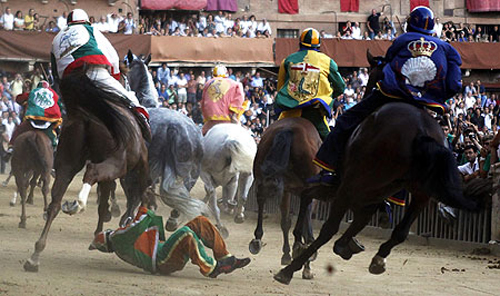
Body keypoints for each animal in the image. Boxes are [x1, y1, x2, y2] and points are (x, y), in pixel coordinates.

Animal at [248, 116, 322, 280]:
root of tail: (289, 128)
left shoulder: (286, 189)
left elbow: (285, 221)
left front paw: (288, 255)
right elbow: (305, 221)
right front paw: (305, 262)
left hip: (262, 172)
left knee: (261, 195)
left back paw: (257, 239)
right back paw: (300, 246)